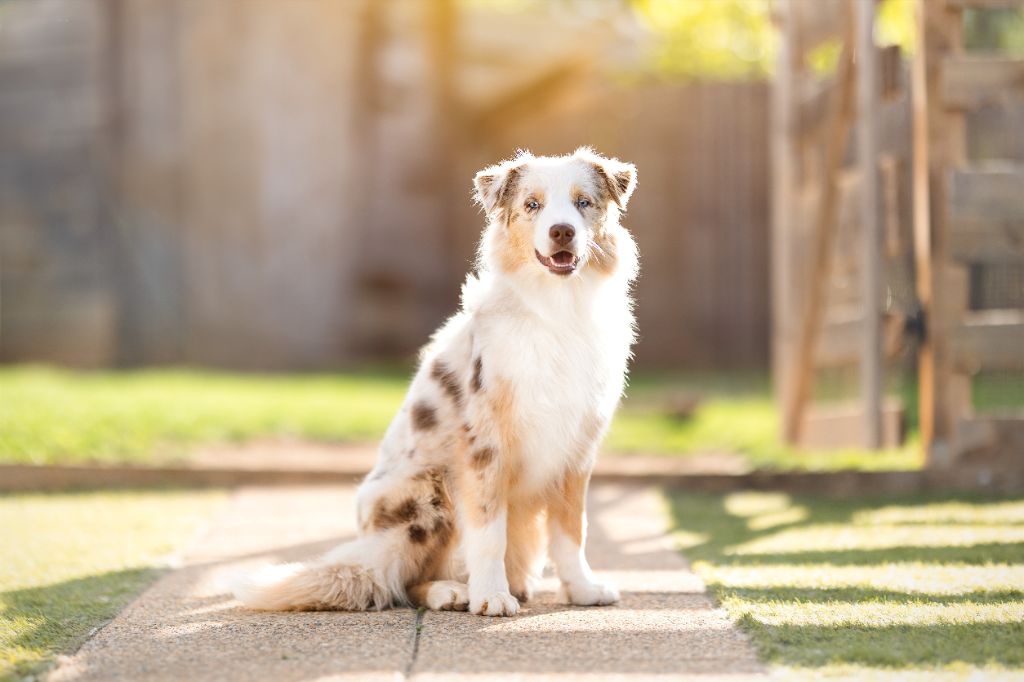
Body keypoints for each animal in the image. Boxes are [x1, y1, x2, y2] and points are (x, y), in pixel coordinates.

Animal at [233, 146, 634, 614]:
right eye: (532, 205)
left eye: (582, 202)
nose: (562, 232)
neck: (558, 309)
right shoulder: (483, 444)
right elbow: (488, 530)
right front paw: (491, 596)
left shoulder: (578, 447)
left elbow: (573, 529)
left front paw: (583, 589)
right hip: (425, 492)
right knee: (400, 580)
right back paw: (452, 591)